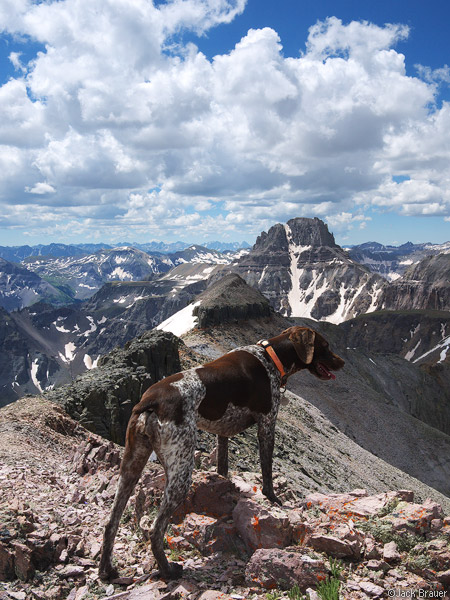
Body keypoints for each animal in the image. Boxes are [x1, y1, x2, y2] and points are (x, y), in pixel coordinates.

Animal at [99, 326, 344, 580]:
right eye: (325, 346)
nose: (343, 362)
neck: (270, 357)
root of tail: (149, 402)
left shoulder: (222, 433)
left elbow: (223, 466)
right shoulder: (267, 425)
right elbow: (267, 470)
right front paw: (273, 498)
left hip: (131, 466)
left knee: (111, 522)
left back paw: (107, 570)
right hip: (181, 470)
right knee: (156, 530)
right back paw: (168, 570)